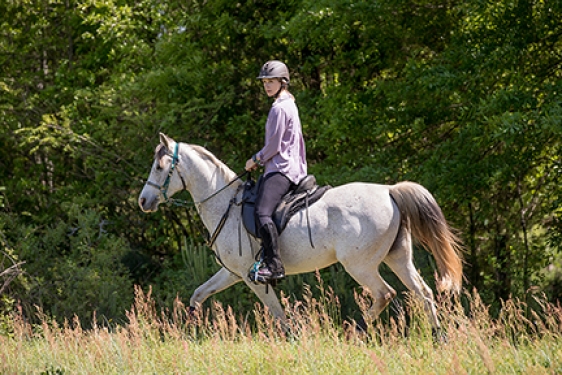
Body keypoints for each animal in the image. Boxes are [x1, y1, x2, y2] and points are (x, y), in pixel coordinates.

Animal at [138, 133, 462, 332]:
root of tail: (390, 191)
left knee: (385, 294)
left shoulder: (252, 278)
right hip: (398, 258)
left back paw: (353, 331)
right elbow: (198, 294)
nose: (143, 201)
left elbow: (279, 315)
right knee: (424, 293)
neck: (225, 203)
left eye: (159, 167)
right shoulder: (232, 273)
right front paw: (191, 330)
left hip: (361, 266)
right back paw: (439, 337)